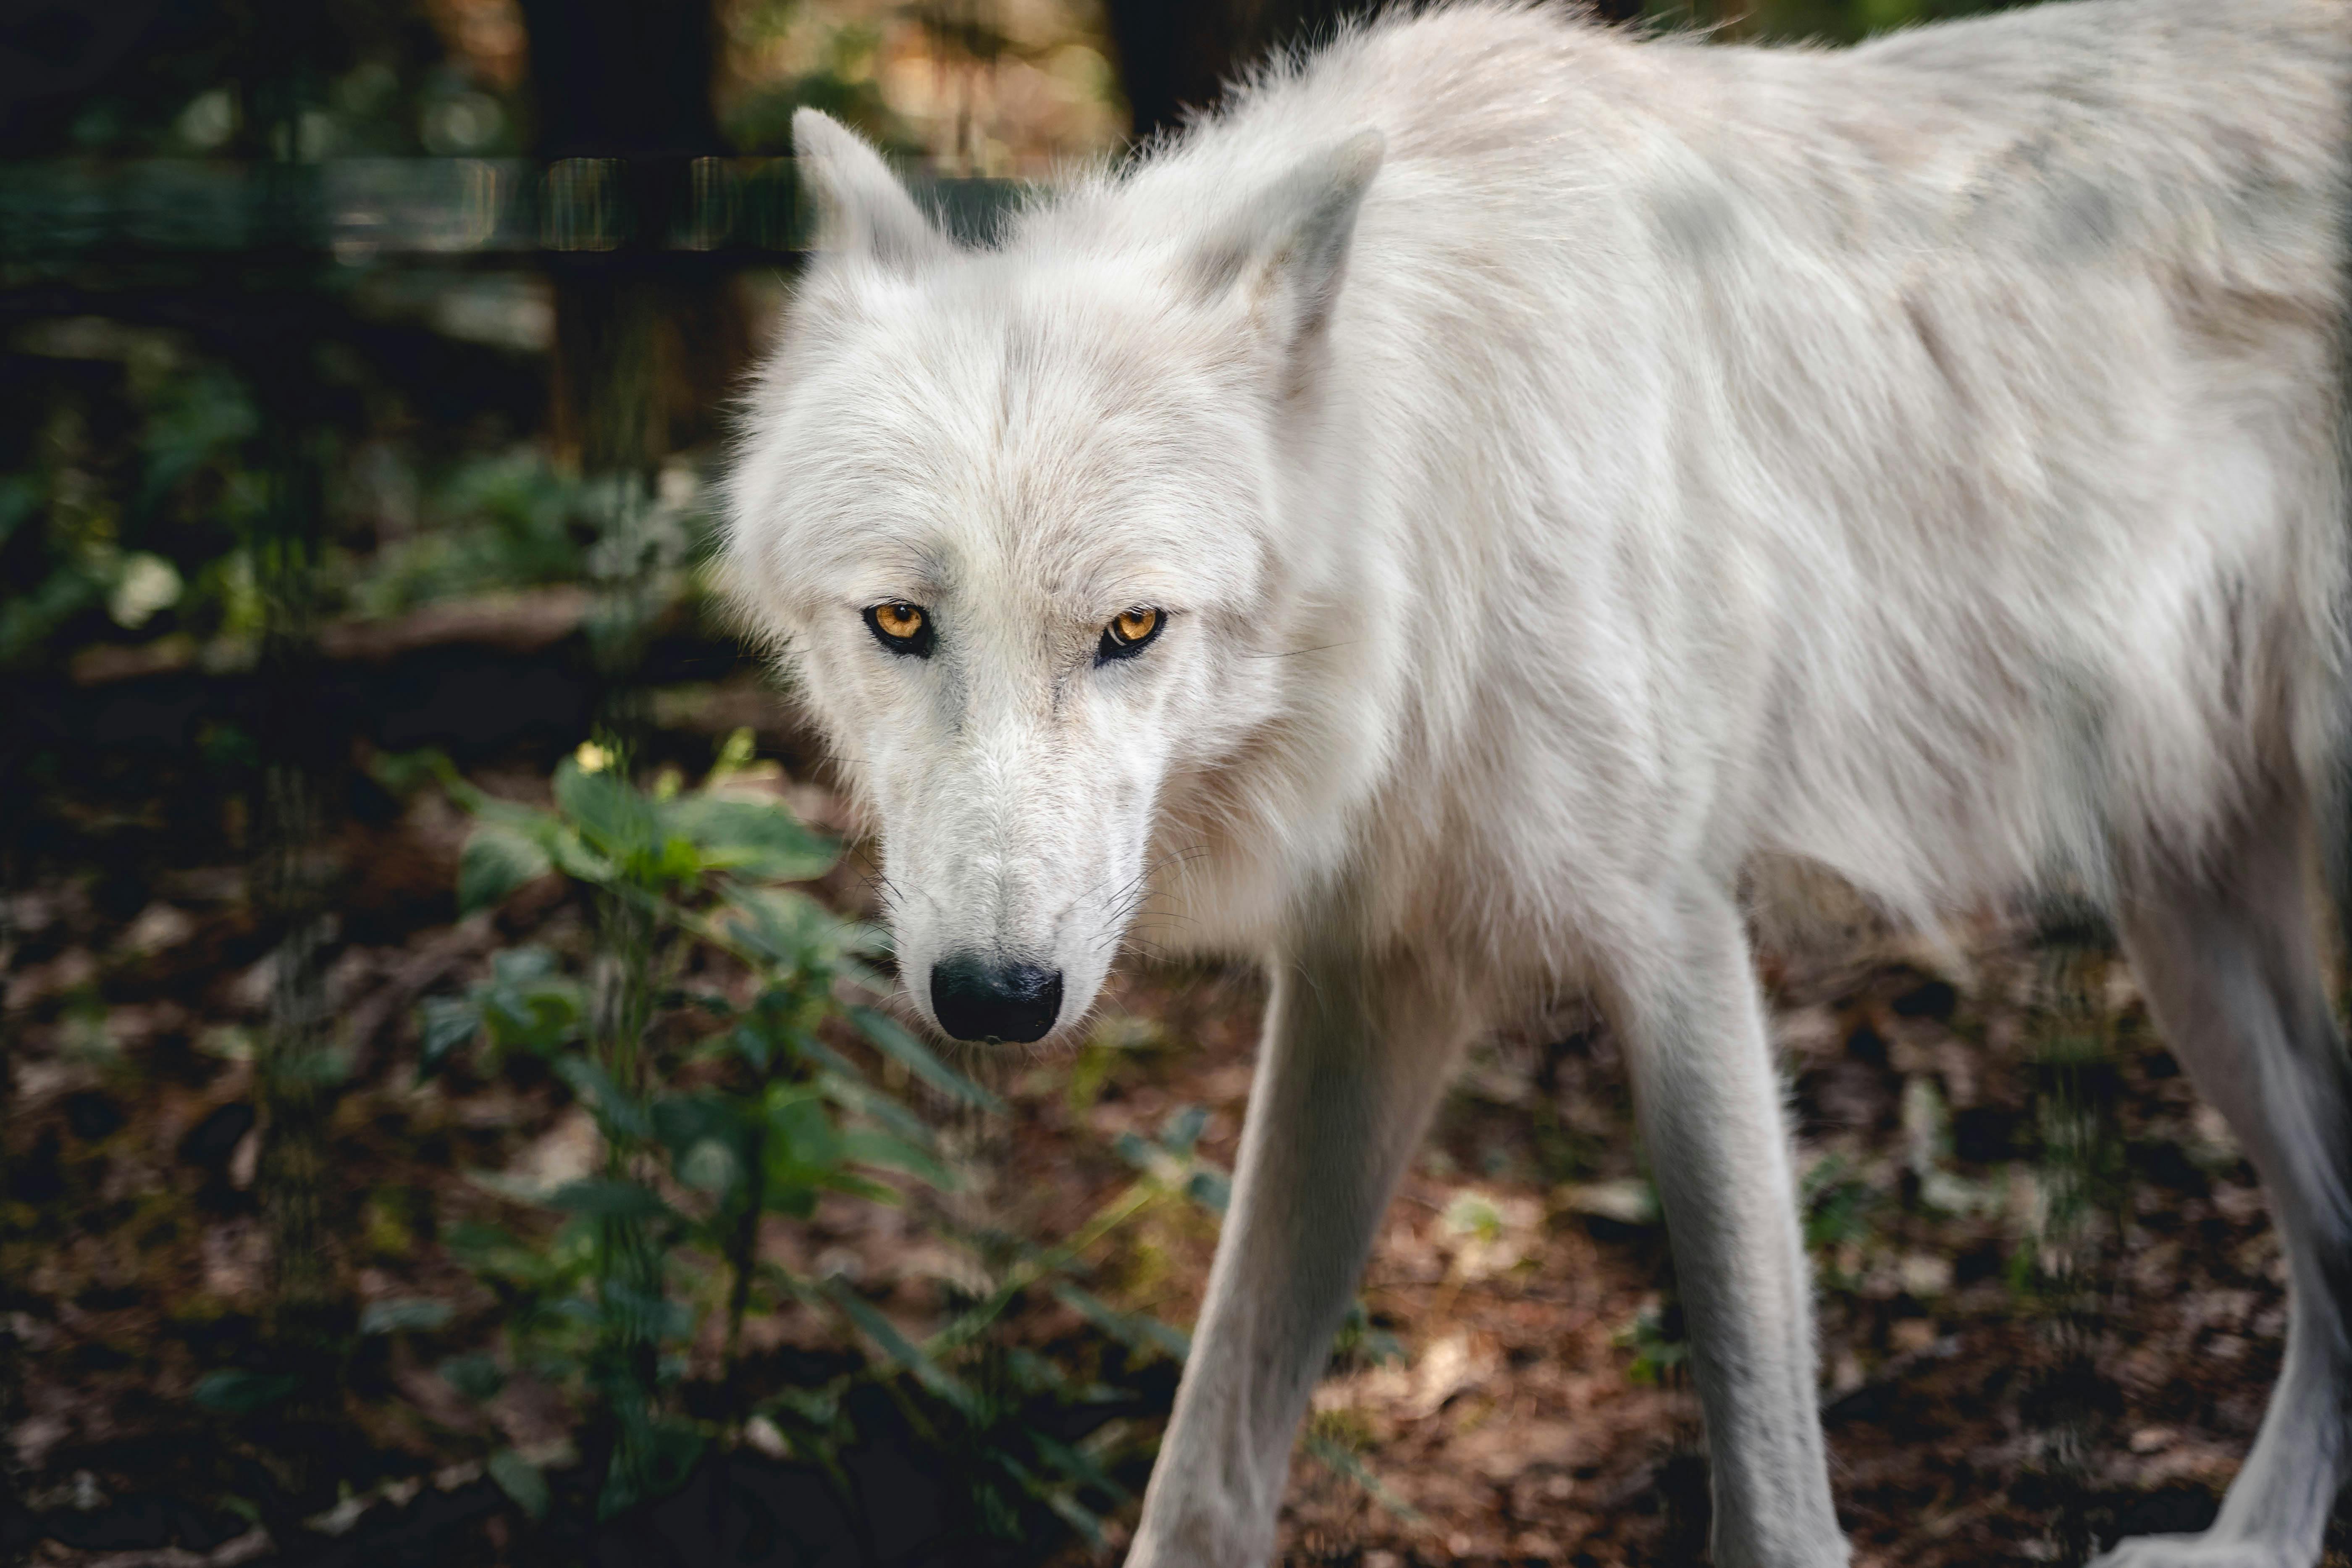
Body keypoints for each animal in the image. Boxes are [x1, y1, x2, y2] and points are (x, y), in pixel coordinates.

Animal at [729, 3, 2352, 1561]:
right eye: (900, 622)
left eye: (1133, 629)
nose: (995, 998)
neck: (1439, 502)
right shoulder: (1370, 975)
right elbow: (1206, 1476)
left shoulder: (1676, 944)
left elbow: (1772, 1497)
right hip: (2187, 921)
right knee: (2332, 1225)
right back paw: (2250, 1545)